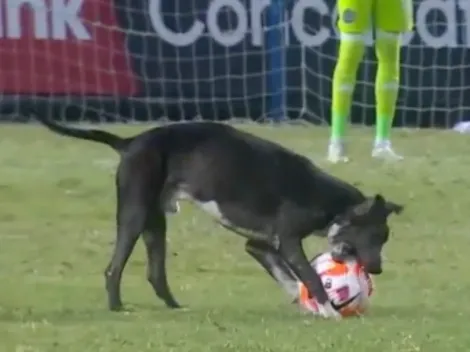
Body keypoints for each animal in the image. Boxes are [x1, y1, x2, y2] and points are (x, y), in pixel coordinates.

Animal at [35, 117, 402, 320]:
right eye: (375, 236)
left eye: (384, 239)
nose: (377, 270)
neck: (330, 201)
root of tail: (131, 141)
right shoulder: (289, 242)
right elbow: (310, 277)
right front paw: (327, 311)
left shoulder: (261, 244)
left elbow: (287, 277)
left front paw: (301, 303)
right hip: (134, 214)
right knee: (114, 268)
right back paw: (117, 308)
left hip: (156, 223)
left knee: (156, 273)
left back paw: (175, 307)